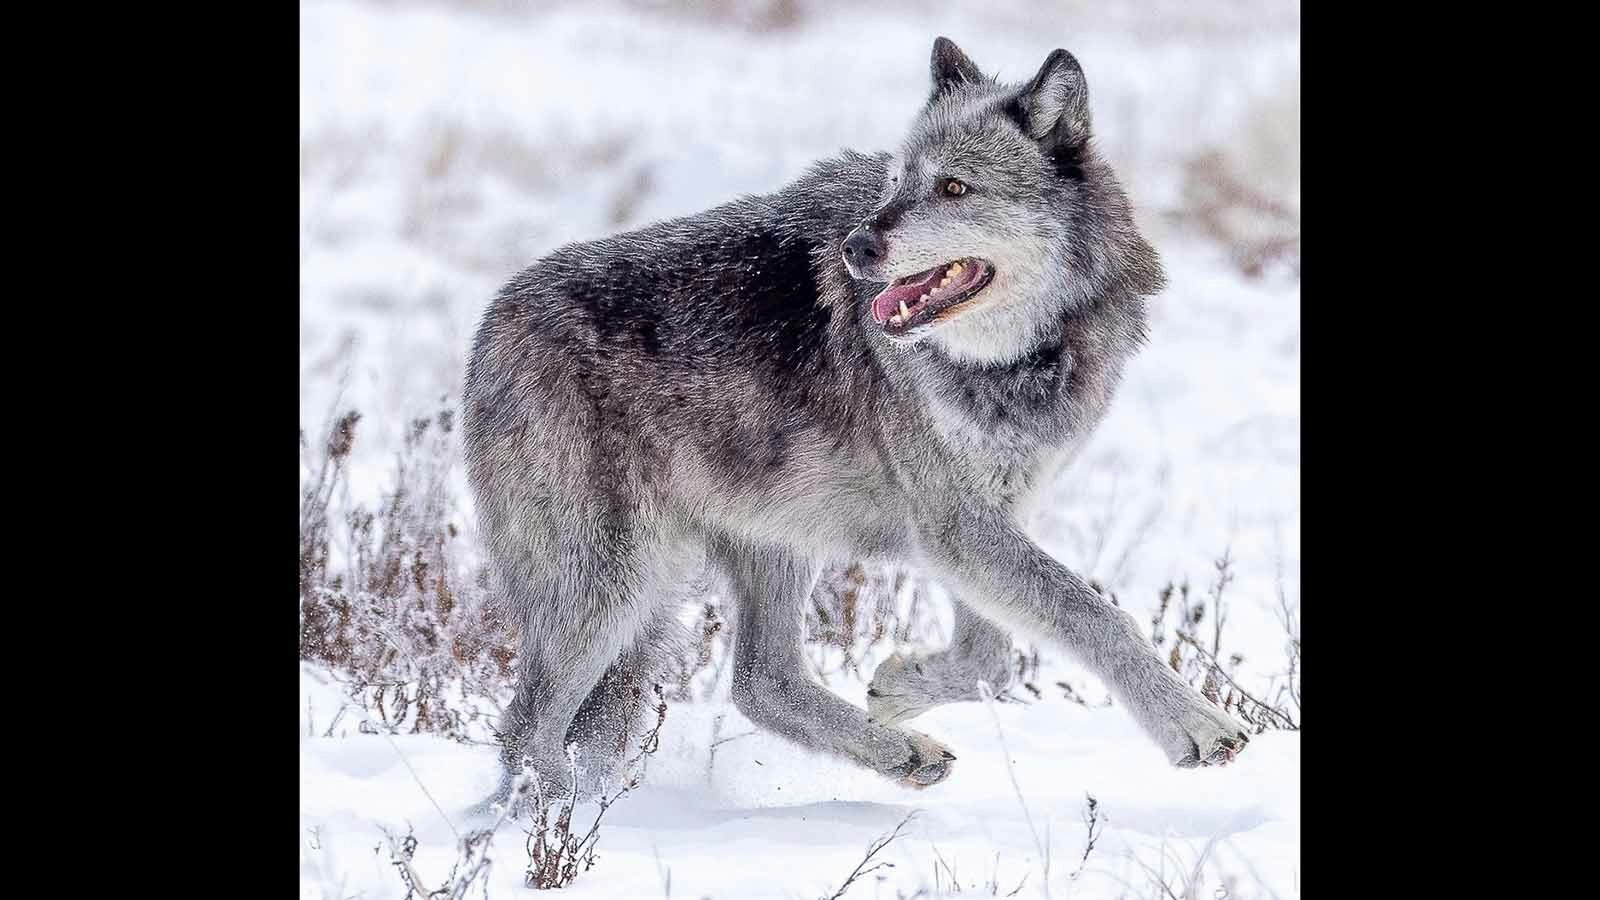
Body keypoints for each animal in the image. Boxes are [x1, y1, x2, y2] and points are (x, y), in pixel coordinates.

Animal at [462, 37, 1249, 809]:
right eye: (896, 182)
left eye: (954, 188)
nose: (857, 247)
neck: (1015, 362)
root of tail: (487, 328)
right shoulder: (957, 529)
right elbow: (1093, 616)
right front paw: (1198, 724)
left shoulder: (980, 526)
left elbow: (992, 658)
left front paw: (899, 687)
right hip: (612, 591)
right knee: (527, 725)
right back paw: (552, 823)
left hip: (760, 548)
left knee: (761, 684)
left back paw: (900, 754)